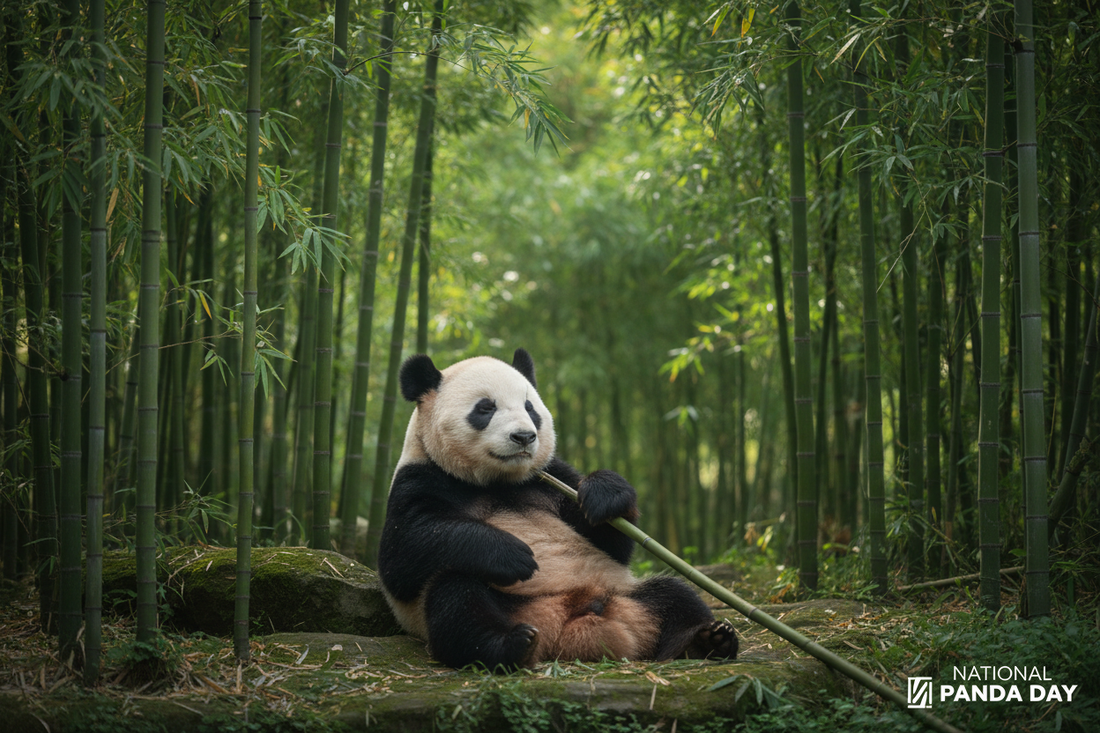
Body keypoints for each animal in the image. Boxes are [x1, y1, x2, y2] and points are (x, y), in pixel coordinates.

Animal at [378, 348, 738, 670]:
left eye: (530, 407)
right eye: (485, 408)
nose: (524, 436)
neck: (498, 481)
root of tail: (565, 627)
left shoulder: (551, 478)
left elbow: (615, 542)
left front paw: (603, 495)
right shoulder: (421, 478)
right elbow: (402, 556)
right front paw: (513, 555)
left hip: (626, 592)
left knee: (676, 594)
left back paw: (707, 640)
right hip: (503, 601)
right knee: (457, 597)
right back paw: (511, 645)